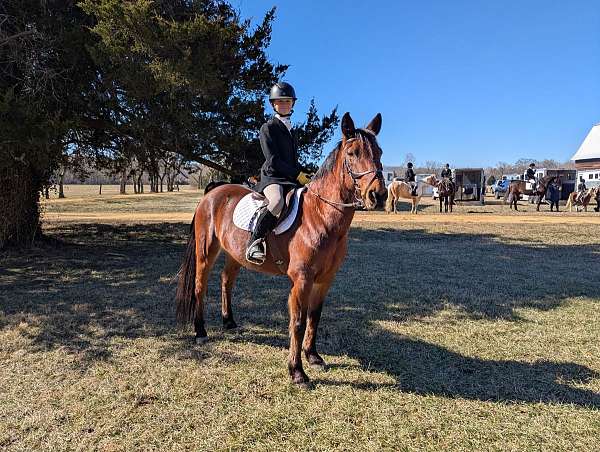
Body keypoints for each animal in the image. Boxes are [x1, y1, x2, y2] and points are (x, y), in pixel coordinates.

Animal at [176, 113, 386, 388]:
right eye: (352, 153)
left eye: (379, 152)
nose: (379, 196)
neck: (321, 216)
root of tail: (213, 192)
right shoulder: (302, 279)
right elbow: (297, 322)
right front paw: (297, 372)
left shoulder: (325, 280)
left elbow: (314, 316)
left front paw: (313, 356)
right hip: (205, 251)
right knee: (200, 286)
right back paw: (200, 332)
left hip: (235, 254)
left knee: (226, 280)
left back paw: (229, 321)